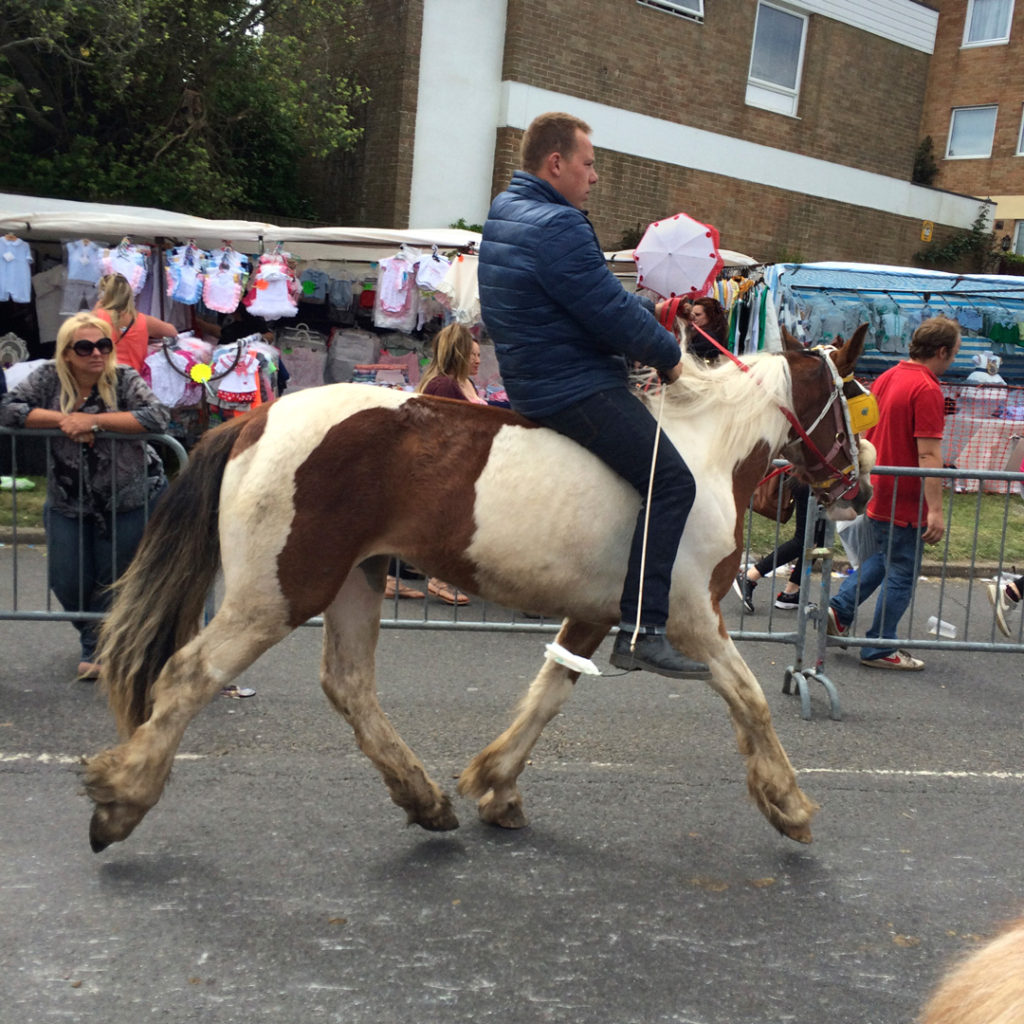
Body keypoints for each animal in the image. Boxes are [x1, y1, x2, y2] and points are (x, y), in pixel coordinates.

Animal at [88, 325, 868, 847]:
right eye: (855, 401)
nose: (859, 489)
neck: (704, 458)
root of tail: (255, 419)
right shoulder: (689, 621)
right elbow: (751, 698)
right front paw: (789, 804)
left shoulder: (594, 614)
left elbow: (549, 694)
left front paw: (495, 785)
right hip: (278, 593)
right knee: (190, 674)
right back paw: (122, 797)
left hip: (355, 581)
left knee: (349, 686)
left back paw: (425, 799)